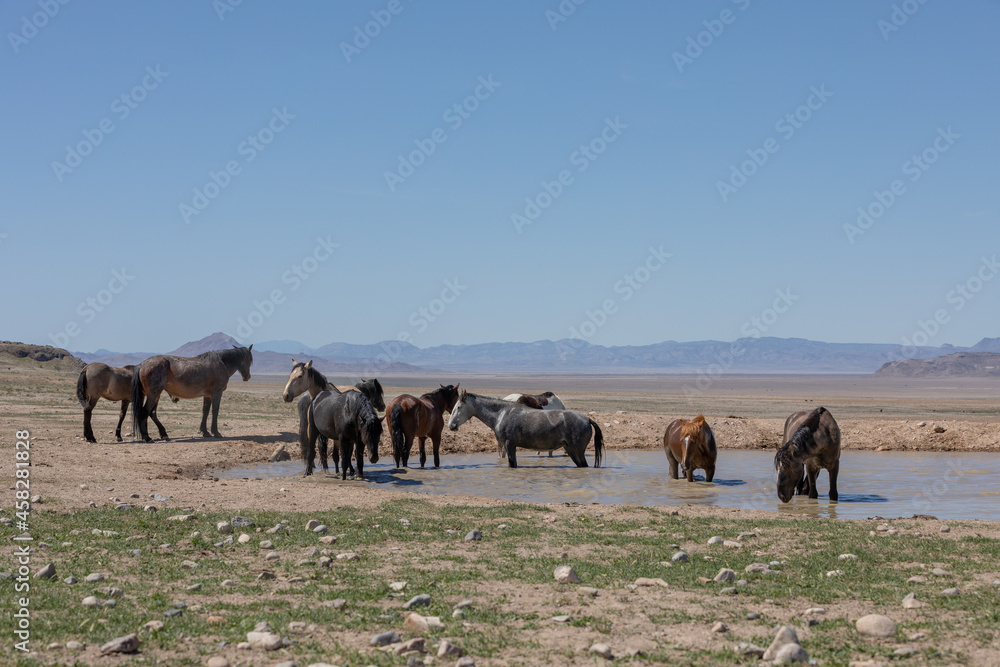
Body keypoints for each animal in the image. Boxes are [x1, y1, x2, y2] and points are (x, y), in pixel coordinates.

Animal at [450, 392, 604, 470]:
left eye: (458, 407)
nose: (451, 425)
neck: (502, 413)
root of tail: (587, 419)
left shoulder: (509, 444)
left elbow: (512, 464)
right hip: (571, 450)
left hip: (577, 450)